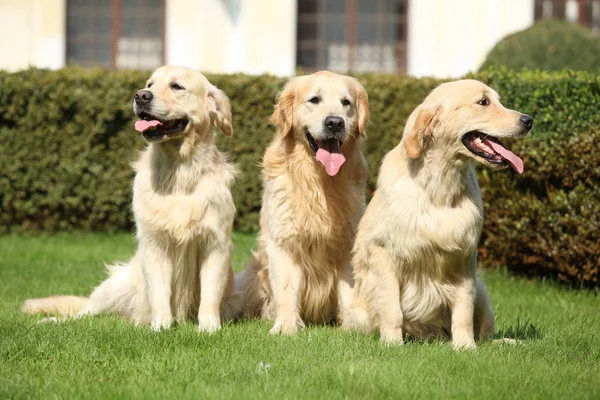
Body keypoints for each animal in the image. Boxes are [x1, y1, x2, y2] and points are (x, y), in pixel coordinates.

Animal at [21, 65, 241, 332]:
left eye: (177, 86)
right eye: (149, 84)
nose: (141, 96)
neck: (180, 175)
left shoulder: (215, 244)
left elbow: (210, 294)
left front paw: (208, 329)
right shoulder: (153, 244)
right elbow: (159, 293)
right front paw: (160, 328)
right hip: (116, 284)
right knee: (86, 310)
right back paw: (53, 321)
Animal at [236, 70, 368, 332]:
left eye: (346, 102)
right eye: (314, 100)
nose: (335, 122)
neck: (318, 181)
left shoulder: (348, 242)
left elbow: (349, 291)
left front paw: (353, 324)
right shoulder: (284, 241)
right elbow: (287, 289)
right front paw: (286, 326)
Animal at [346, 79, 536, 348]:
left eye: (497, 100)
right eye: (483, 102)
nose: (528, 120)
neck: (439, 188)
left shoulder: (465, 258)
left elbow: (463, 311)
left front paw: (465, 347)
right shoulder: (384, 254)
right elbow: (392, 309)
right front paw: (392, 344)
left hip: (481, 290)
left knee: (486, 334)